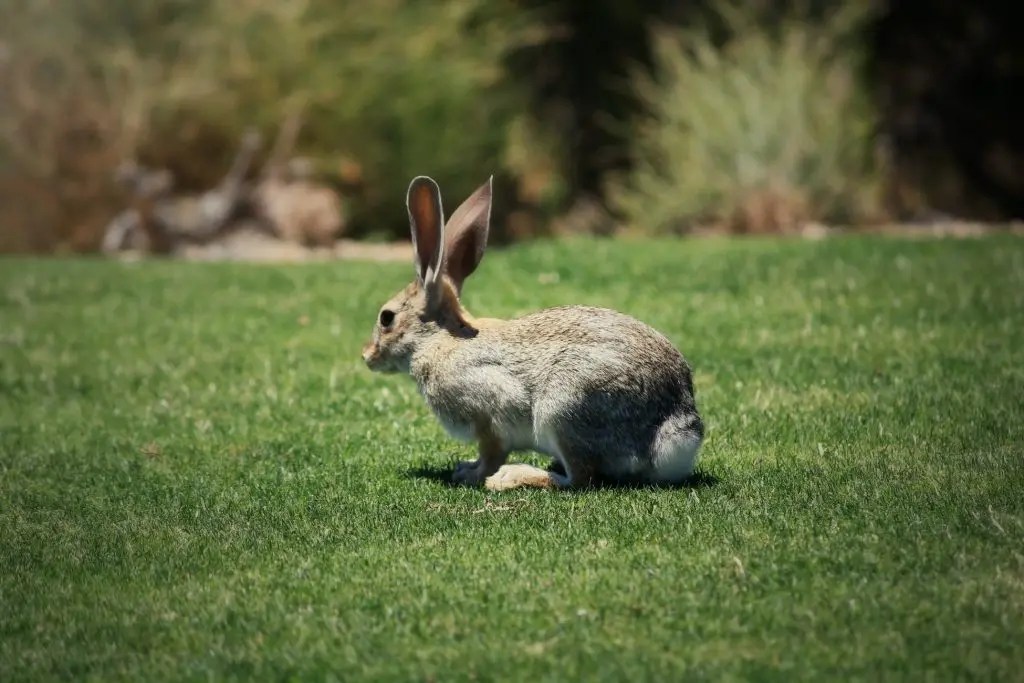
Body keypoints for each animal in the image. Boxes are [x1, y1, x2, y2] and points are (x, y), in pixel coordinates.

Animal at [362, 176, 703, 491]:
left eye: (386, 318)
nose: (367, 356)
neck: (438, 339)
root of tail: (678, 430)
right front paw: (466, 467)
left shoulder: (488, 413)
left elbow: (491, 453)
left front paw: (472, 474)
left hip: (563, 409)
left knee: (580, 478)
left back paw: (512, 476)